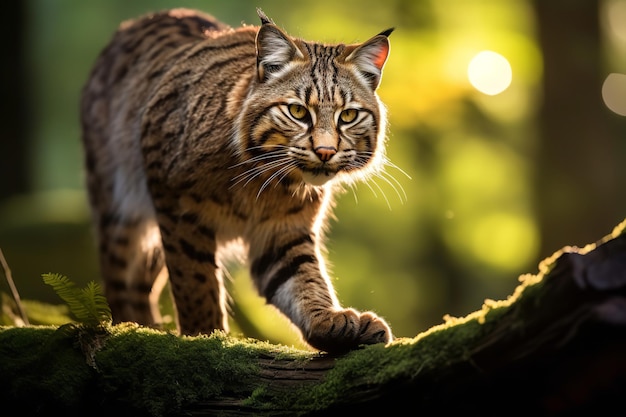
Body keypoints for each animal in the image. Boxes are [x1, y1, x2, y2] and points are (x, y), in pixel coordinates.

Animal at [80, 7, 394, 352]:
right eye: (298, 112)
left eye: (348, 116)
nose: (325, 152)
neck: (264, 177)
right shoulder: (175, 206)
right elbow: (195, 282)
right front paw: (205, 337)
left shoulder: (282, 230)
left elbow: (302, 277)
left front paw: (329, 321)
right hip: (119, 209)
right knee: (121, 277)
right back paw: (129, 327)